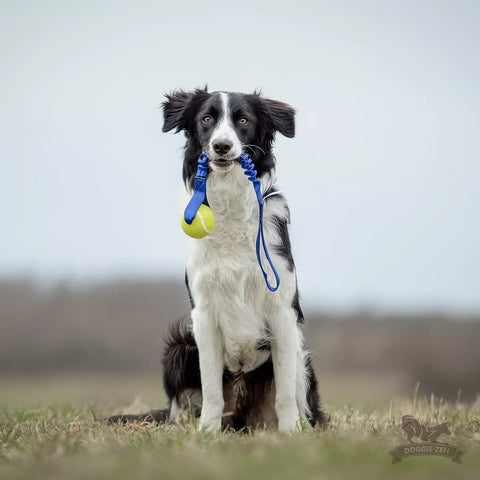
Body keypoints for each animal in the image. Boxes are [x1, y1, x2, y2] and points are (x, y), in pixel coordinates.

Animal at [108, 88, 326, 434]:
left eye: (243, 120)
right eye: (207, 119)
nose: (222, 146)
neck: (231, 204)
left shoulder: (282, 311)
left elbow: (285, 390)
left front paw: (290, 432)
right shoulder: (204, 314)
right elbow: (210, 387)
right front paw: (207, 434)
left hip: (300, 355)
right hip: (180, 349)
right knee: (182, 405)